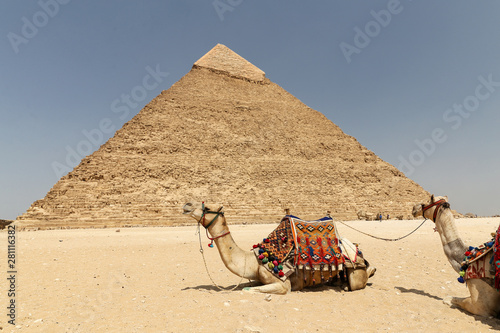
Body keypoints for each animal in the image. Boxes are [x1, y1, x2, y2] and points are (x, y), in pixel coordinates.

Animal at [184, 201, 376, 292]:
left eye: (207, 206)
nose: (186, 204)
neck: (252, 260)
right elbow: (249, 285)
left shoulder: (284, 285)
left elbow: (247, 289)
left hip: (355, 275)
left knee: (363, 276)